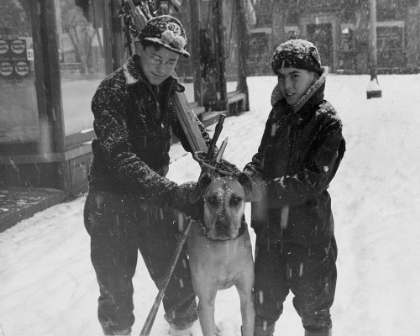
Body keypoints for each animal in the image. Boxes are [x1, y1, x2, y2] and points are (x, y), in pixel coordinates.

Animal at [188, 173, 260, 336]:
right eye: (211, 200)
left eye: (236, 199)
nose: (222, 225)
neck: (224, 249)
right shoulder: (205, 299)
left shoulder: (247, 295)